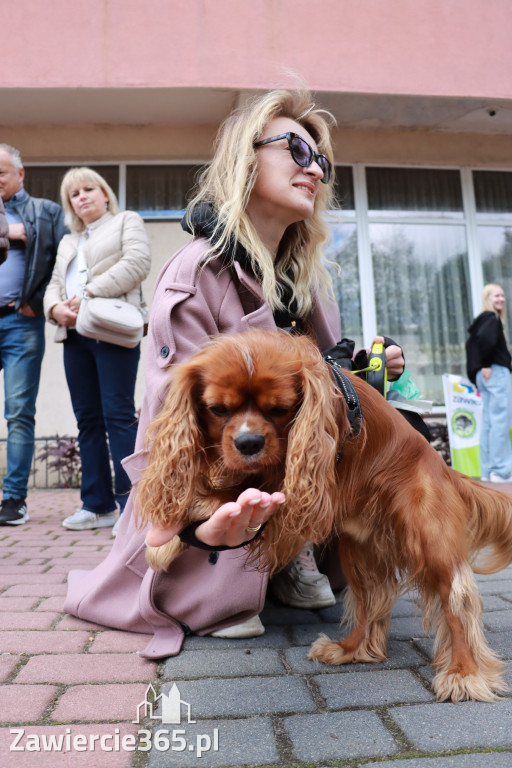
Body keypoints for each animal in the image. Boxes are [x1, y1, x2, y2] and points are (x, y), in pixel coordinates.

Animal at [138, 330, 512, 704]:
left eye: (280, 409)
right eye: (217, 409)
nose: (248, 442)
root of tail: (444, 469)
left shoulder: (302, 477)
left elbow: (230, 494)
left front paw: (168, 536)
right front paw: (170, 530)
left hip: (430, 539)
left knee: (457, 601)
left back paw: (463, 672)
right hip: (360, 550)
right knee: (371, 600)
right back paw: (351, 649)